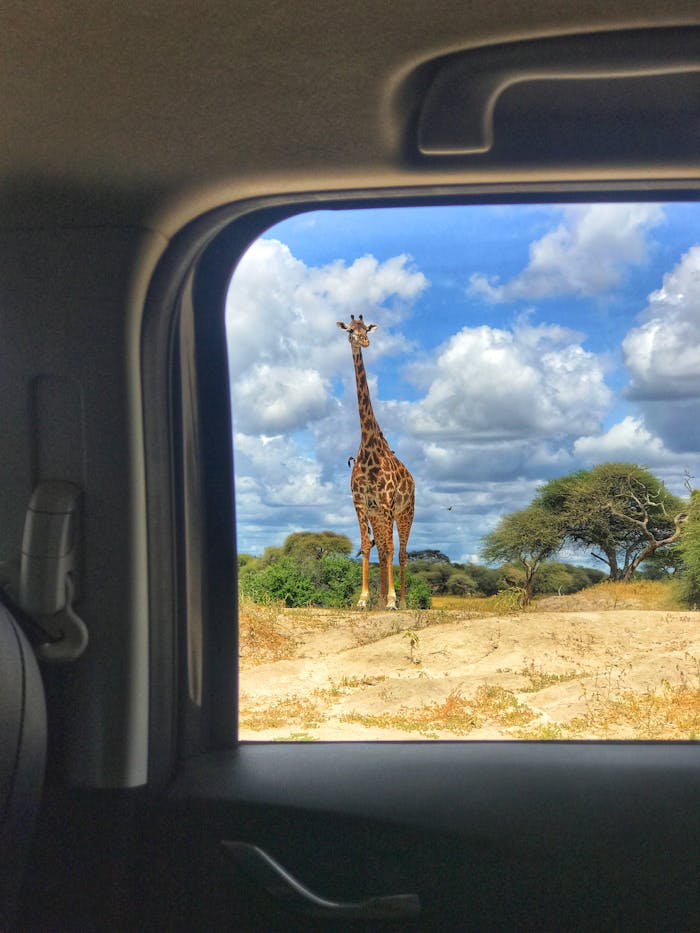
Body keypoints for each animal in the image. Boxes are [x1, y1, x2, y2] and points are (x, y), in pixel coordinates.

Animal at [337, 314, 415, 609]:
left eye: (366, 329)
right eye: (349, 330)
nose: (364, 342)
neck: (370, 449)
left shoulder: (388, 502)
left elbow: (391, 549)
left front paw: (392, 600)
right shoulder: (361, 503)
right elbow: (366, 546)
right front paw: (363, 599)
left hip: (406, 513)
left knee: (401, 552)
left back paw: (400, 601)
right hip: (379, 516)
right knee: (381, 549)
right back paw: (380, 600)